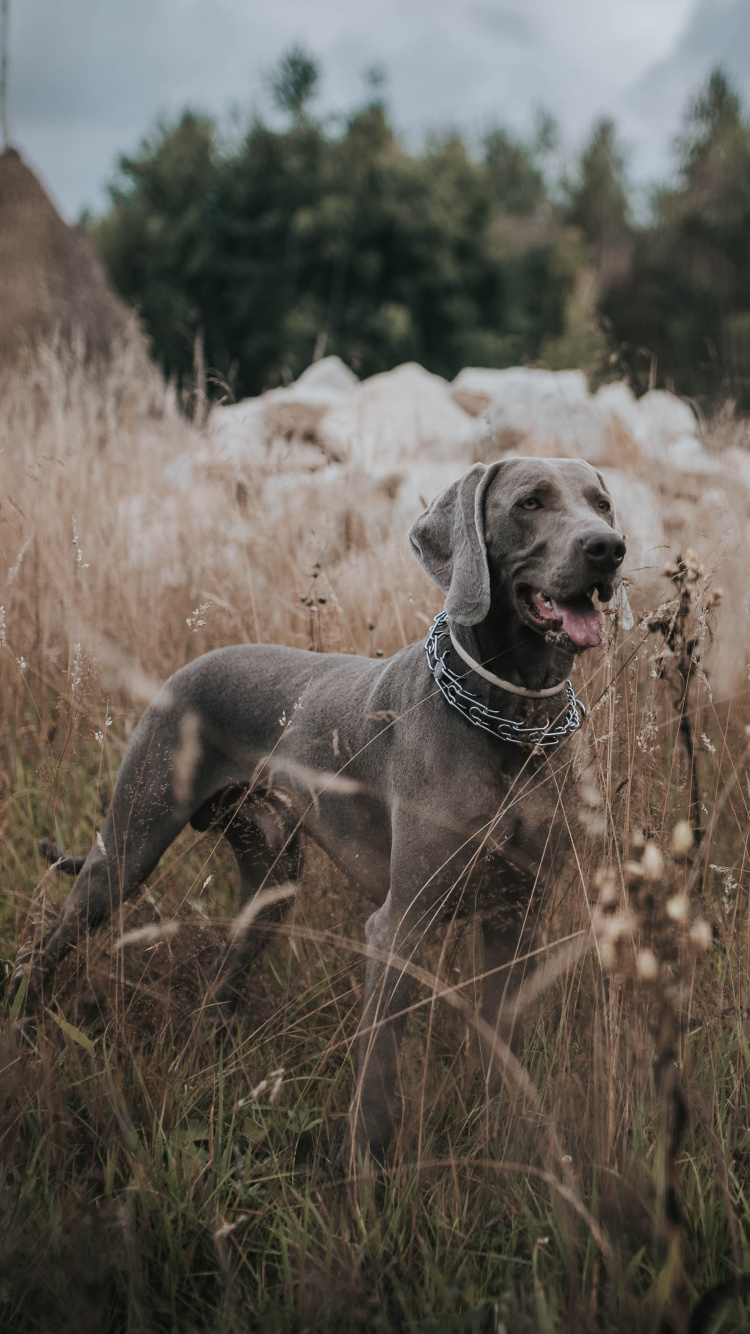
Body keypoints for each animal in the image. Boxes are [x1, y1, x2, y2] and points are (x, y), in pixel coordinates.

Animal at [10, 458, 624, 1157]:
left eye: (602, 504)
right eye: (530, 502)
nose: (608, 548)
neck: (511, 724)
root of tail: (185, 667)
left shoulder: (516, 917)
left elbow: (504, 1056)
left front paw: (509, 1150)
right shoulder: (399, 925)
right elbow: (377, 1079)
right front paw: (363, 1177)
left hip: (271, 885)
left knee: (219, 980)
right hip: (126, 849)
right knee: (43, 949)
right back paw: (23, 1044)